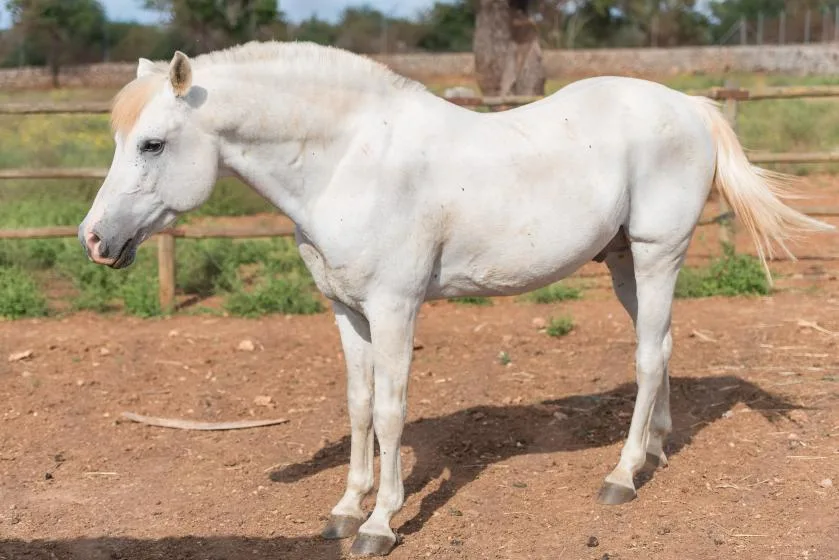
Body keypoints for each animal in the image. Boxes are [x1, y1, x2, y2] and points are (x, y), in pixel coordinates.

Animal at [78, 41, 831, 556]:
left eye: (152, 143)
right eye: (117, 139)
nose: (94, 239)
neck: (347, 160)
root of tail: (689, 106)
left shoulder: (393, 308)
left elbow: (389, 412)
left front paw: (380, 523)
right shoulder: (346, 311)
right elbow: (357, 405)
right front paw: (343, 509)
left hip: (656, 253)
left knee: (648, 357)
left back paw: (621, 476)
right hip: (623, 263)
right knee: (664, 345)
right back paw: (656, 450)